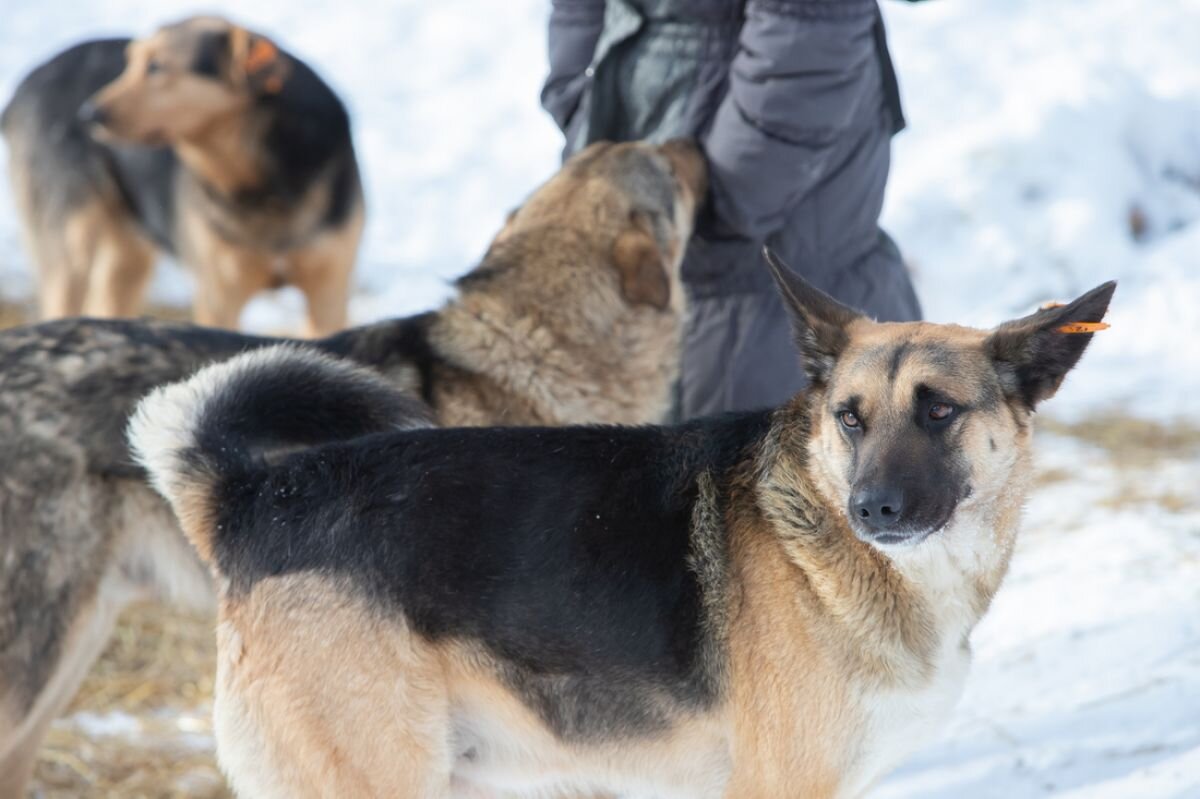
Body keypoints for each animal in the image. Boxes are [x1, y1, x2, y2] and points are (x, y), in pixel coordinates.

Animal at [2, 15, 362, 333]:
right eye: (131, 62)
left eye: (156, 66)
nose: (88, 115)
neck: (266, 182)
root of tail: (24, 83)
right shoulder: (218, 295)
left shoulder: (329, 292)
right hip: (71, 246)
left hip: (129, 251)